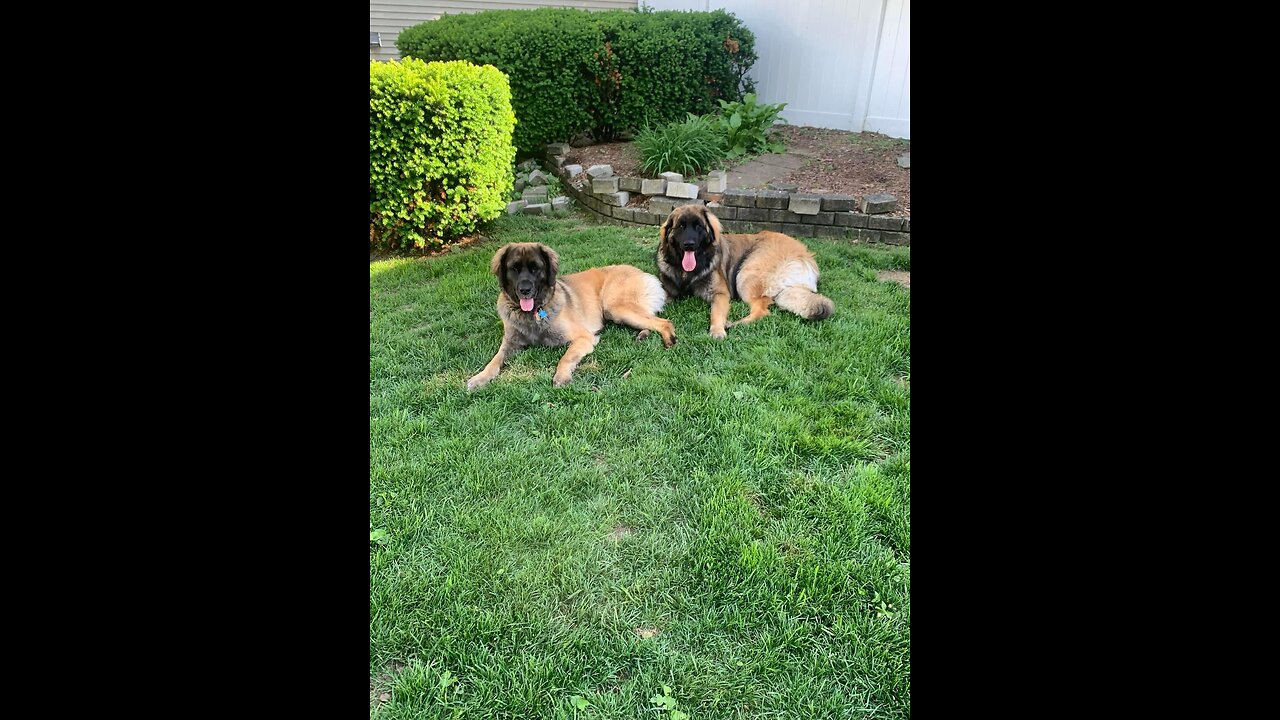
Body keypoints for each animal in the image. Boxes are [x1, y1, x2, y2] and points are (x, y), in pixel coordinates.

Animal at [465, 239, 675, 386]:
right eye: (514, 269)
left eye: (535, 269)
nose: (525, 290)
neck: (533, 315)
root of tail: (643, 273)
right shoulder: (510, 344)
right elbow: (495, 360)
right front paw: (480, 378)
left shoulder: (584, 338)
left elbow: (565, 358)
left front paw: (561, 376)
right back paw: (643, 335)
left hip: (615, 308)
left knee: (664, 322)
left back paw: (669, 341)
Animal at [655, 203, 834, 335]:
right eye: (681, 226)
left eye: (698, 226)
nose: (689, 245)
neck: (687, 273)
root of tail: (805, 256)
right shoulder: (668, 291)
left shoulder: (720, 294)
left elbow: (715, 313)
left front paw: (717, 331)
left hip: (745, 274)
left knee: (762, 310)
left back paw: (734, 324)